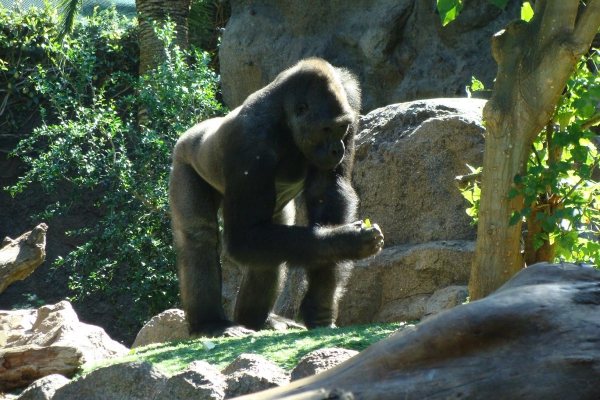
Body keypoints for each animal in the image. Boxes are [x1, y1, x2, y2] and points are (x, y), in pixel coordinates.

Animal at [170, 57, 384, 338]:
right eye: (326, 129)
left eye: (341, 128)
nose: (338, 149)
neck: (284, 117)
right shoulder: (249, 144)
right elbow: (242, 238)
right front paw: (346, 241)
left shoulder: (349, 97)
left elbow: (327, 193)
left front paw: (319, 305)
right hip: (185, 156)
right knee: (199, 238)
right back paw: (209, 322)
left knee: (272, 240)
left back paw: (256, 319)